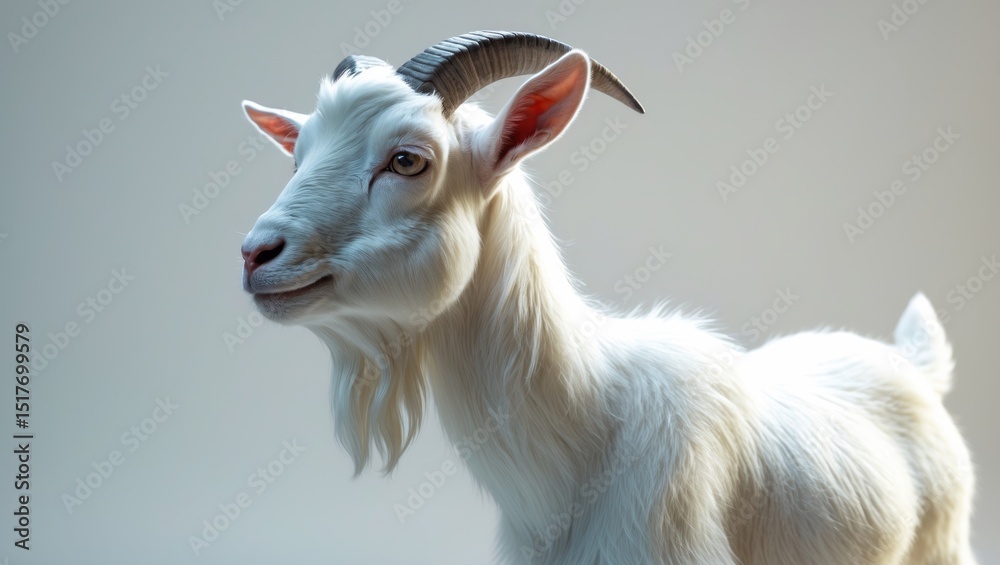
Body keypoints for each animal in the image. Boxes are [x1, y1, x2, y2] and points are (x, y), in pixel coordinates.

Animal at [238, 31, 976, 564]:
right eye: (298, 154)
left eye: (408, 159)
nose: (254, 253)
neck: (588, 428)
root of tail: (914, 366)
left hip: (941, 542)